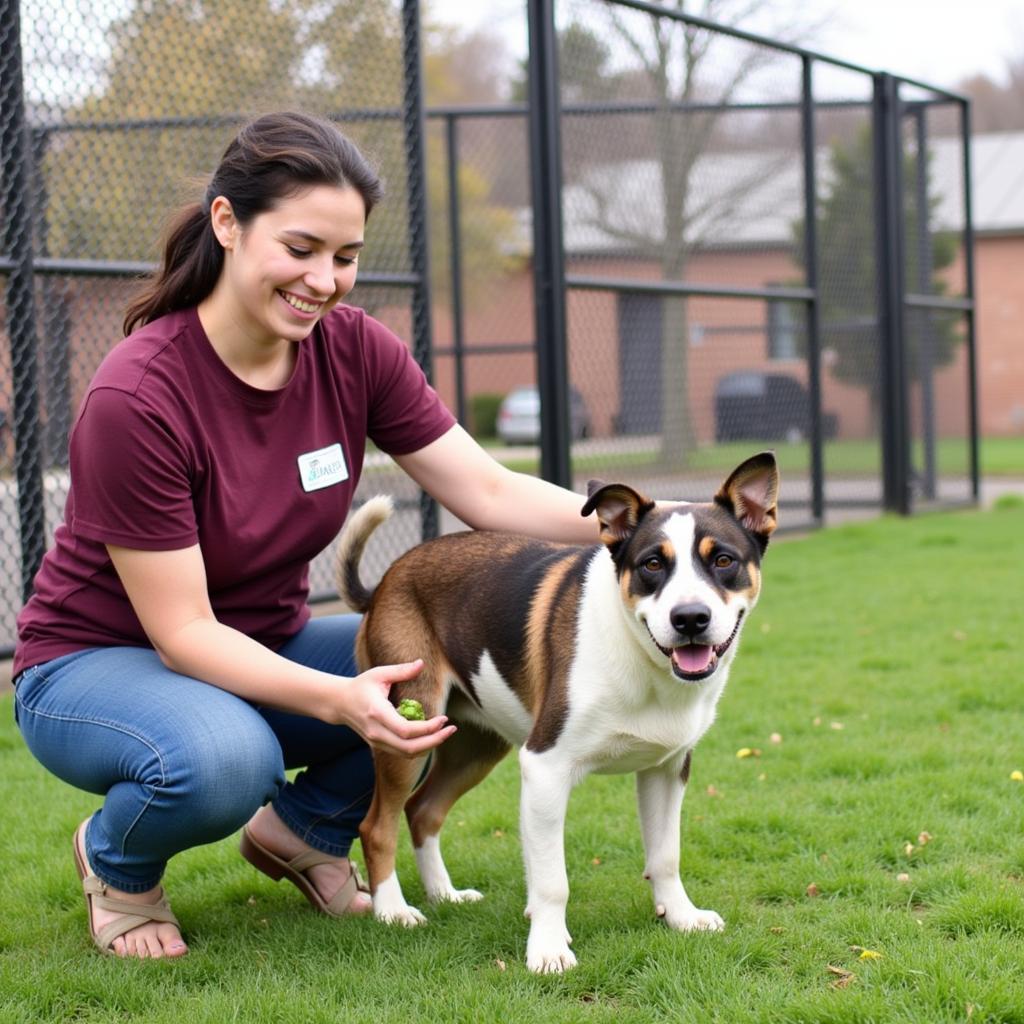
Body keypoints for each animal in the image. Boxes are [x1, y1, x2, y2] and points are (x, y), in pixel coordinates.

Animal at [335, 452, 774, 970]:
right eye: (652, 564)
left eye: (723, 560)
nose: (689, 619)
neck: (639, 655)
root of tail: (386, 580)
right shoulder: (545, 767)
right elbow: (551, 881)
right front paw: (547, 947)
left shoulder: (666, 770)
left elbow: (666, 855)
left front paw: (681, 916)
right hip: (408, 727)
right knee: (377, 824)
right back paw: (393, 910)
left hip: (474, 745)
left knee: (423, 810)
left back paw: (444, 894)